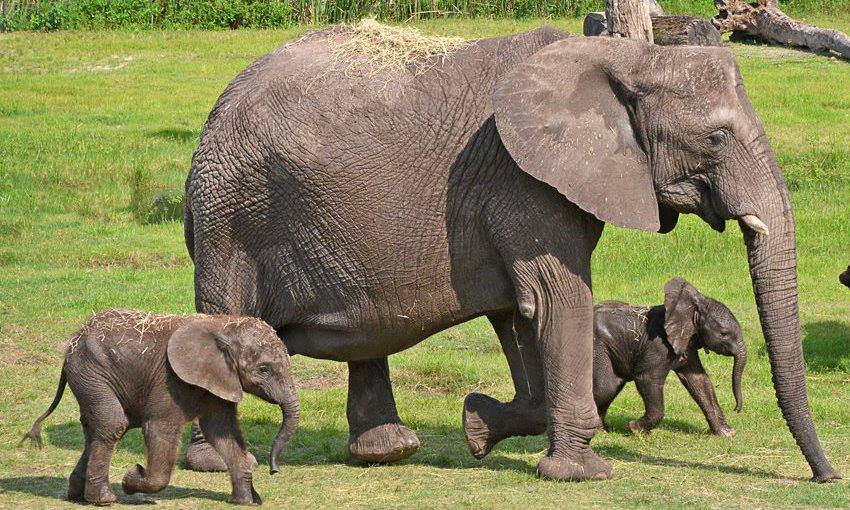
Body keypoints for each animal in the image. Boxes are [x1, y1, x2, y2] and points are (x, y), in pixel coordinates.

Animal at [23, 308, 298, 504]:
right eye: (264, 369)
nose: (274, 471)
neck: (225, 325)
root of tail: (73, 341)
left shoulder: (220, 378)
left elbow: (222, 432)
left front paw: (247, 502)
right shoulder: (168, 381)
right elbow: (160, 429)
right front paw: (131, 478)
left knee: (96, 429)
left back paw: (78, 496)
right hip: (91, 373)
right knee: (113, 424)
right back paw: (104, 499)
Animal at [592, 276, 744, 436]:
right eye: (724, 334)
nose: (736, 409)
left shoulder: (686, 345)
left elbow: (699, 382)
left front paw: (727, 434)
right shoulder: (658, 347)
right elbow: (648, 379)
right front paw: (634, 429)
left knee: (612, 386)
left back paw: (602, 430)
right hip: (598, 346)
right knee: (606, 387)